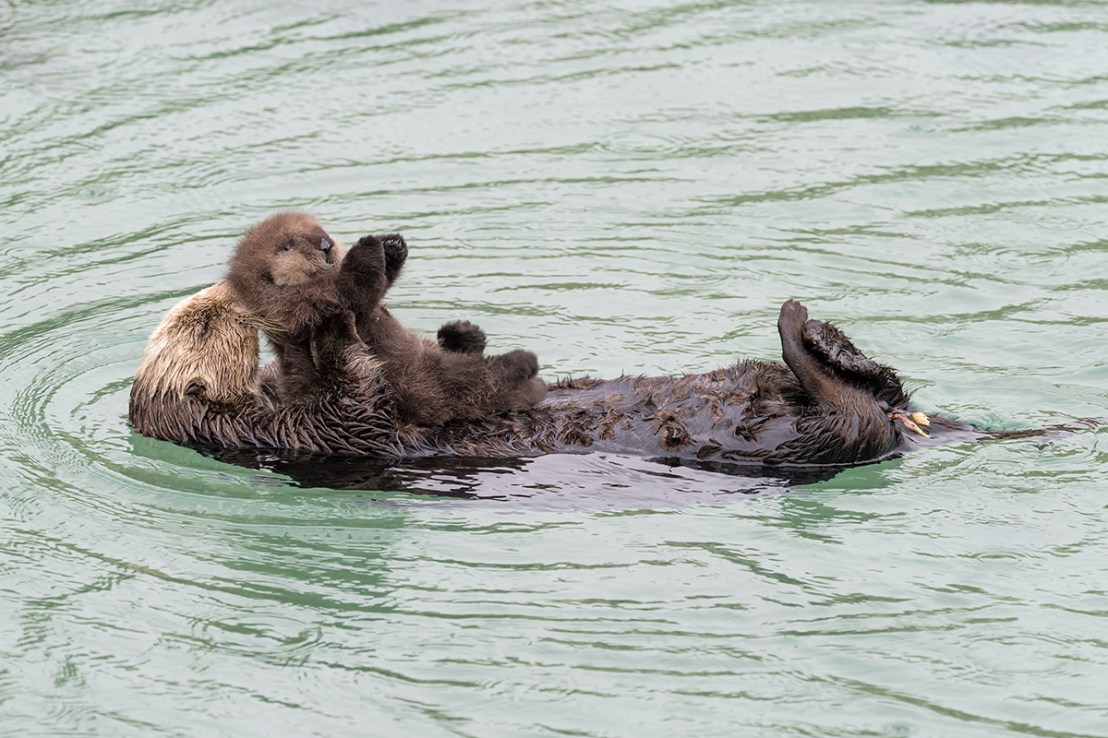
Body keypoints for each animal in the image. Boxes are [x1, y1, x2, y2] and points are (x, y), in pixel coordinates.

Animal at [225, 212, 545, 424]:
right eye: (287, 245)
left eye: (320, 228)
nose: (325, 243)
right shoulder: (303, 307)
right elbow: (355, 293)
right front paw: (366, 246)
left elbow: (374, 292)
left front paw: (391, 246)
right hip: (426, 381)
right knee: (478, 380)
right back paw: (522, 362)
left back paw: (463, 333)